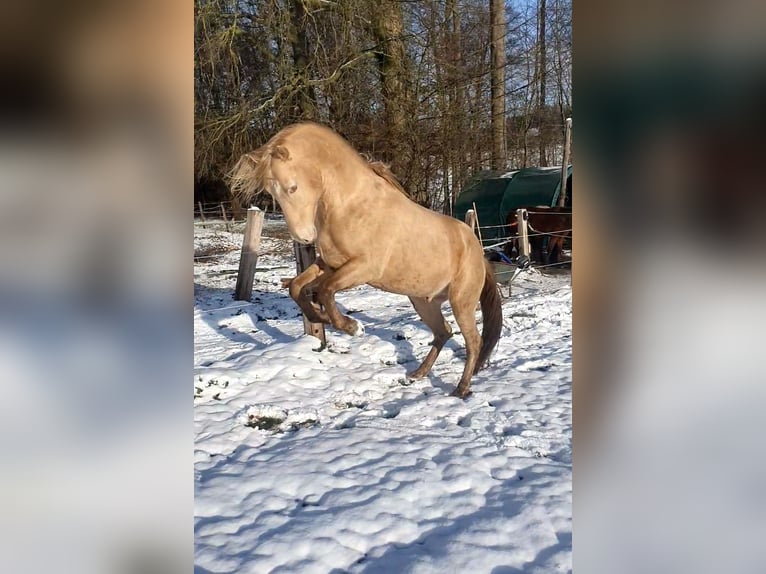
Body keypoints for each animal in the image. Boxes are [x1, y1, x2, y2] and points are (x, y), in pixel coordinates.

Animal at [229, 122, 502, 397]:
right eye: (270, 192)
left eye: (292, 187)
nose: (304, 236)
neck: (351, 205)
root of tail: (478, 251)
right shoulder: (330, 264)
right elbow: (297, 287)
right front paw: (322, 319)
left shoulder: (364, 268)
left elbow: (326, 290)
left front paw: (353, 327)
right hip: (424, 302)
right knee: (443, 332)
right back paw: (418, 374)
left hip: (461, 303)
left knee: (473, 341)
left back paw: (461, 388)